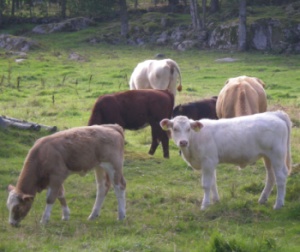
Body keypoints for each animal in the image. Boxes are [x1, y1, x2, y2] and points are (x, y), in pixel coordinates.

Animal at [161, 110, 292, 211]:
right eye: (175, 128)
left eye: (189, 129)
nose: (183, 142)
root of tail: (274, 114)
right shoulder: (211, 162)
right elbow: (213, 182)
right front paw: (215, 200)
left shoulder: (208, 162)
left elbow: (206, 185)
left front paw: (205, 205)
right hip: (268, 157)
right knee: (271, 177)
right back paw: (263, 199)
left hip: (277, 156)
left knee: (280, 177)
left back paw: (278, 204)